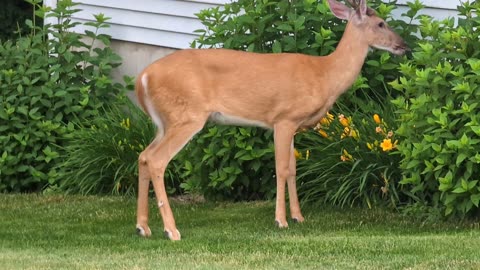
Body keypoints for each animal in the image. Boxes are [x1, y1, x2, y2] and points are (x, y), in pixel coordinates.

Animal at [132, 0, 408, 240]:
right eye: (381, 23)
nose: (404, 45)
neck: (325, 74)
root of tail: (143, 78)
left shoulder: (294, 125)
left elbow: (294, 169)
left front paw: (298, 217)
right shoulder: (284, 118)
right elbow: (282, 169)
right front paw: (281, 220)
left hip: (165, 122)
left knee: (144, 156)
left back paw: (143, 227)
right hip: (187, 116)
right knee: (156, 160)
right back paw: (171, 231)